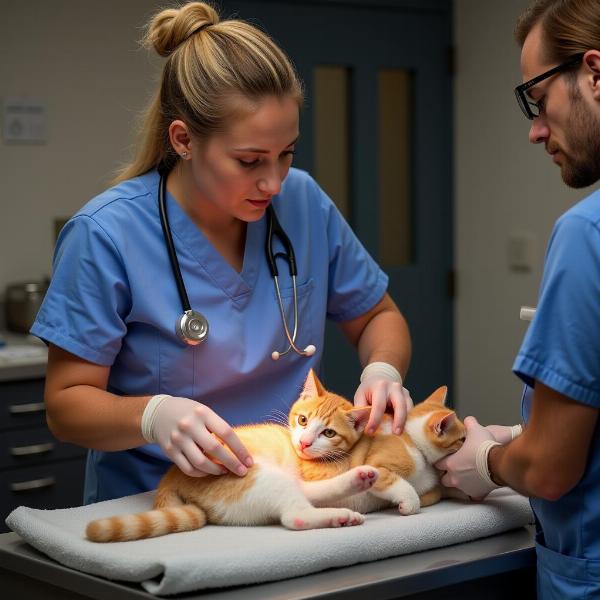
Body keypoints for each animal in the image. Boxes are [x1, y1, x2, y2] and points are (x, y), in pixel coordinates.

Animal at [86, 368, 466, 540]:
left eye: (328, 432)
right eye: (303, 420)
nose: (304, 444)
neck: (412, 443)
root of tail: (172, 477)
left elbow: (432, 491)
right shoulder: (373, 462)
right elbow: (396, 481)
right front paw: (408, 498)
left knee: (307, 497)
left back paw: (355, 489)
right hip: (256, 477)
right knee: (294, 515)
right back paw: (344, 507)